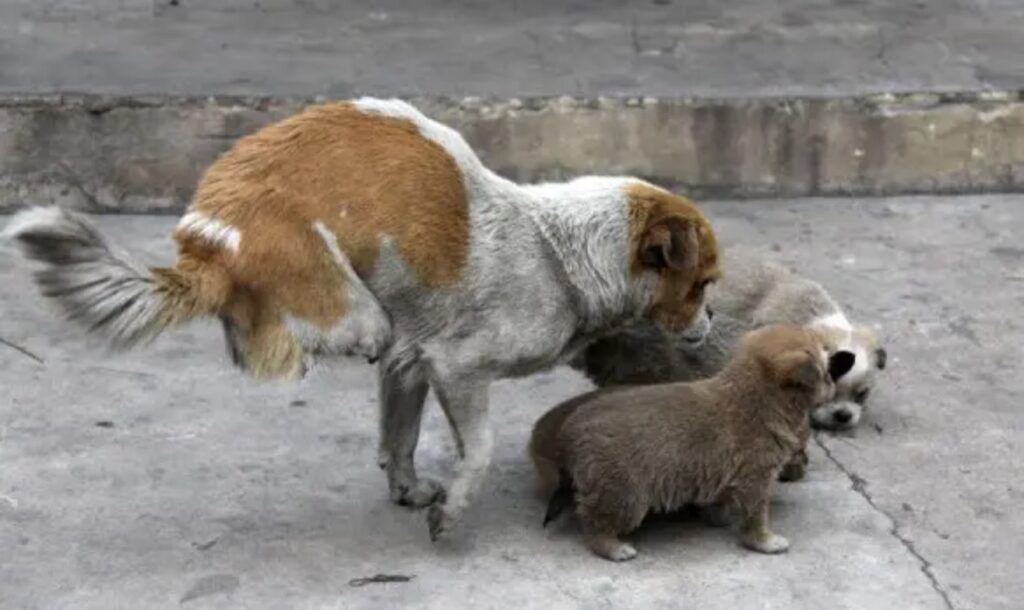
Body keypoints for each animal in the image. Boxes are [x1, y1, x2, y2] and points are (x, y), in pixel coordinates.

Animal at [2, 98, 720, 540]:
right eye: (703, 284)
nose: (713, 319)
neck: (557, 253)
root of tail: (209, 242)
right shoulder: (457, 366)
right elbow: (481, 447)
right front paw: (454, 508)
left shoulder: (413, 363)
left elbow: (399, 435)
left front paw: (407, 489)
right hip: (342, 303)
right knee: (335, 334)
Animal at [532, 325, 851, 560]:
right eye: (827, 370)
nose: (840, 371)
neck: (758, 395)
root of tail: (569, 434)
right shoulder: (756, 479)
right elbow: (756, 516)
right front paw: (764, 541)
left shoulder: (726, 476)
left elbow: (719, 501)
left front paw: (718, 517)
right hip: (625, 495)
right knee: (592, 519)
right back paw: (613, 548)